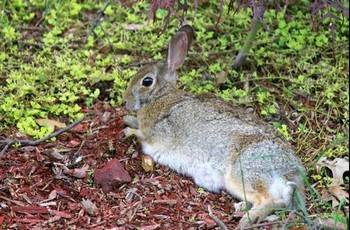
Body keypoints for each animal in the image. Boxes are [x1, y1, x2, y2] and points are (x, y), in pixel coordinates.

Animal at [123, 24, 306, 229]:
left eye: (147, 81)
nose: (125, 101)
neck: (161, 96)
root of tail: (292, 172)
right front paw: (128, 119)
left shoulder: (158, 134)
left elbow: (141, 134)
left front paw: (128, 130)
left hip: (243, 173)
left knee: (270, 200)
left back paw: (247, 218)